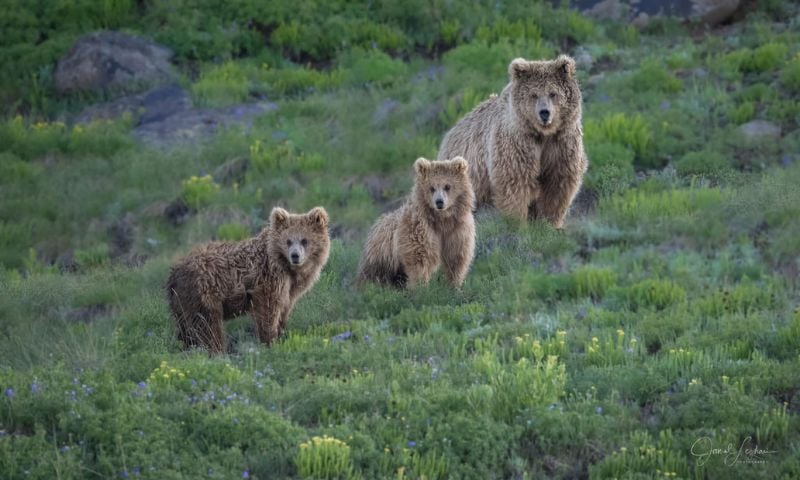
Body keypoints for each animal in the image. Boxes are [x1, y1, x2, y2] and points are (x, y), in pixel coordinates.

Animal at [166, 207, 330, 354]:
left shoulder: (289, 289)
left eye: (304, 240)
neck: (286, 267)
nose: (295, 256)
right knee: (207, 326)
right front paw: (269, 340)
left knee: (187, 327)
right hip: (203, 294)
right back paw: (216, 351)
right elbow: (268, 309)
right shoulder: (267, 279)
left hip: (183, 301)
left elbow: (284, 308)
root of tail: (174, 272)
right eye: (288, 241)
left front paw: (281, 334)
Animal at [358, 157, 476, 288]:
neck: (442, 220)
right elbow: (419, 257)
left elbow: (455, 256)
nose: (439, 202)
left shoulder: (456, 229)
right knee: (374, 273)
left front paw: (454, 284)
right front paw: (421, 286)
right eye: (432, 187)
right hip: (382, 255)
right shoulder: (420, 227)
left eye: (447, 186)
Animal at [437, 55, 588, 228]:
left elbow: (557, 184)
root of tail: (449, 134)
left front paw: (548, 222)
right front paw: (517, 222)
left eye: (553, 93)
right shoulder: (517, 142)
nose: (544, 113)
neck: (543, 134)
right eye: (534, 94)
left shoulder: (561, 143)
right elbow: (515, 181)